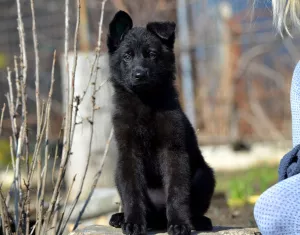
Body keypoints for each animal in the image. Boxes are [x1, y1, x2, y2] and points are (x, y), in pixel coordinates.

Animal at [106, 10, 214, 235]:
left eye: (152, 54)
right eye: (127, 56)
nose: (139, 74)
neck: (145, 101)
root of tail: (157, 218)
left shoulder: (173, 151)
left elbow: (177, 191)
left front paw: (180, 223)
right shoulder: (128, 154)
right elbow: (132, 192)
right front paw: (133, 222)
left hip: (204, 175)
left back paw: (198, 221)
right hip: (117, 173)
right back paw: (121, 217)